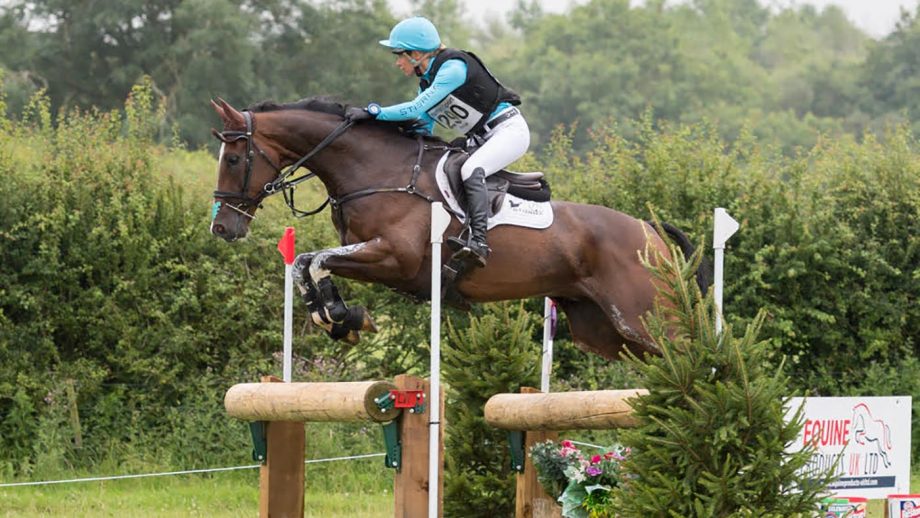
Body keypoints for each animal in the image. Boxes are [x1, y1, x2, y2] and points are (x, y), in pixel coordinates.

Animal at [210, 99, 712, 364]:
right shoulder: (375, 259)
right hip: (606, 330)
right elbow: (306, 264)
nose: (222, 227)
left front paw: (340, 316)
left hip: (646, 318)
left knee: (694, 355)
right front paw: (338, 319)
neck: (378, 171)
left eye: (233, 159)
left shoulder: (394, 258)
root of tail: (650, 232)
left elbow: (317, 260)